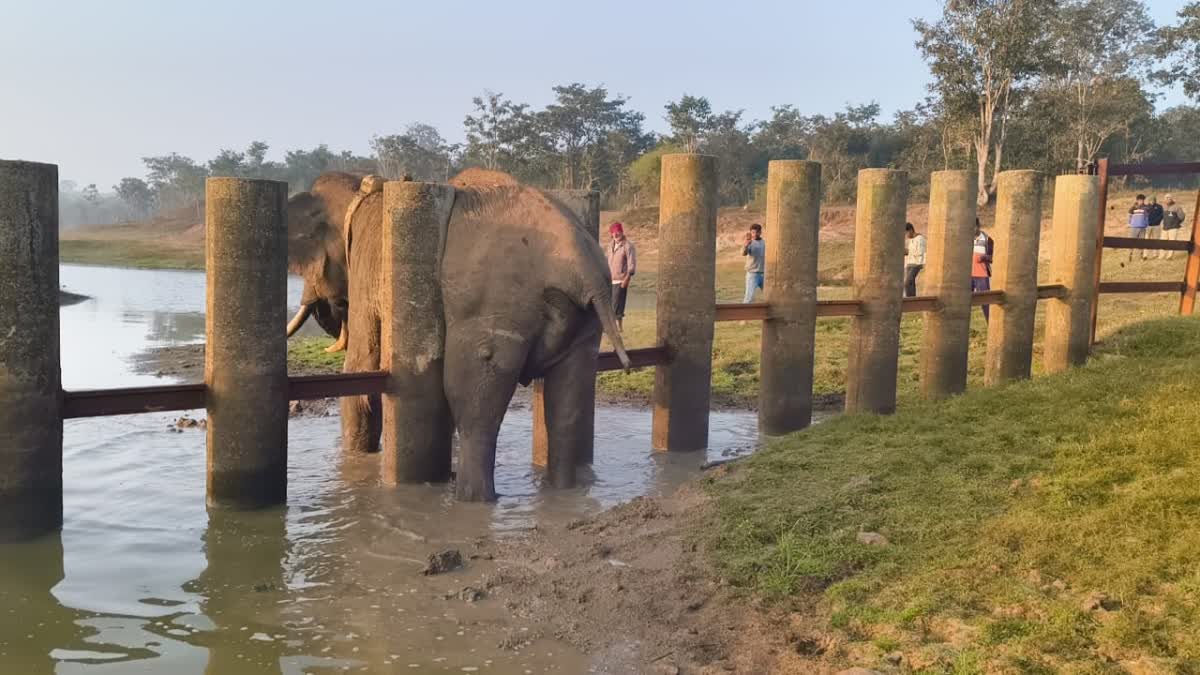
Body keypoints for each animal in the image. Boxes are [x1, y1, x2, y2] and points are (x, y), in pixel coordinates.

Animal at [284, 165, 633, 497]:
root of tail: (584, 268)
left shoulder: (365, 269)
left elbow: (361, 368)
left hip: (499, 308)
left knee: (473, 404)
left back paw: (470, 497)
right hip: (585, 321)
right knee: (567, 406)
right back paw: (561, 492)